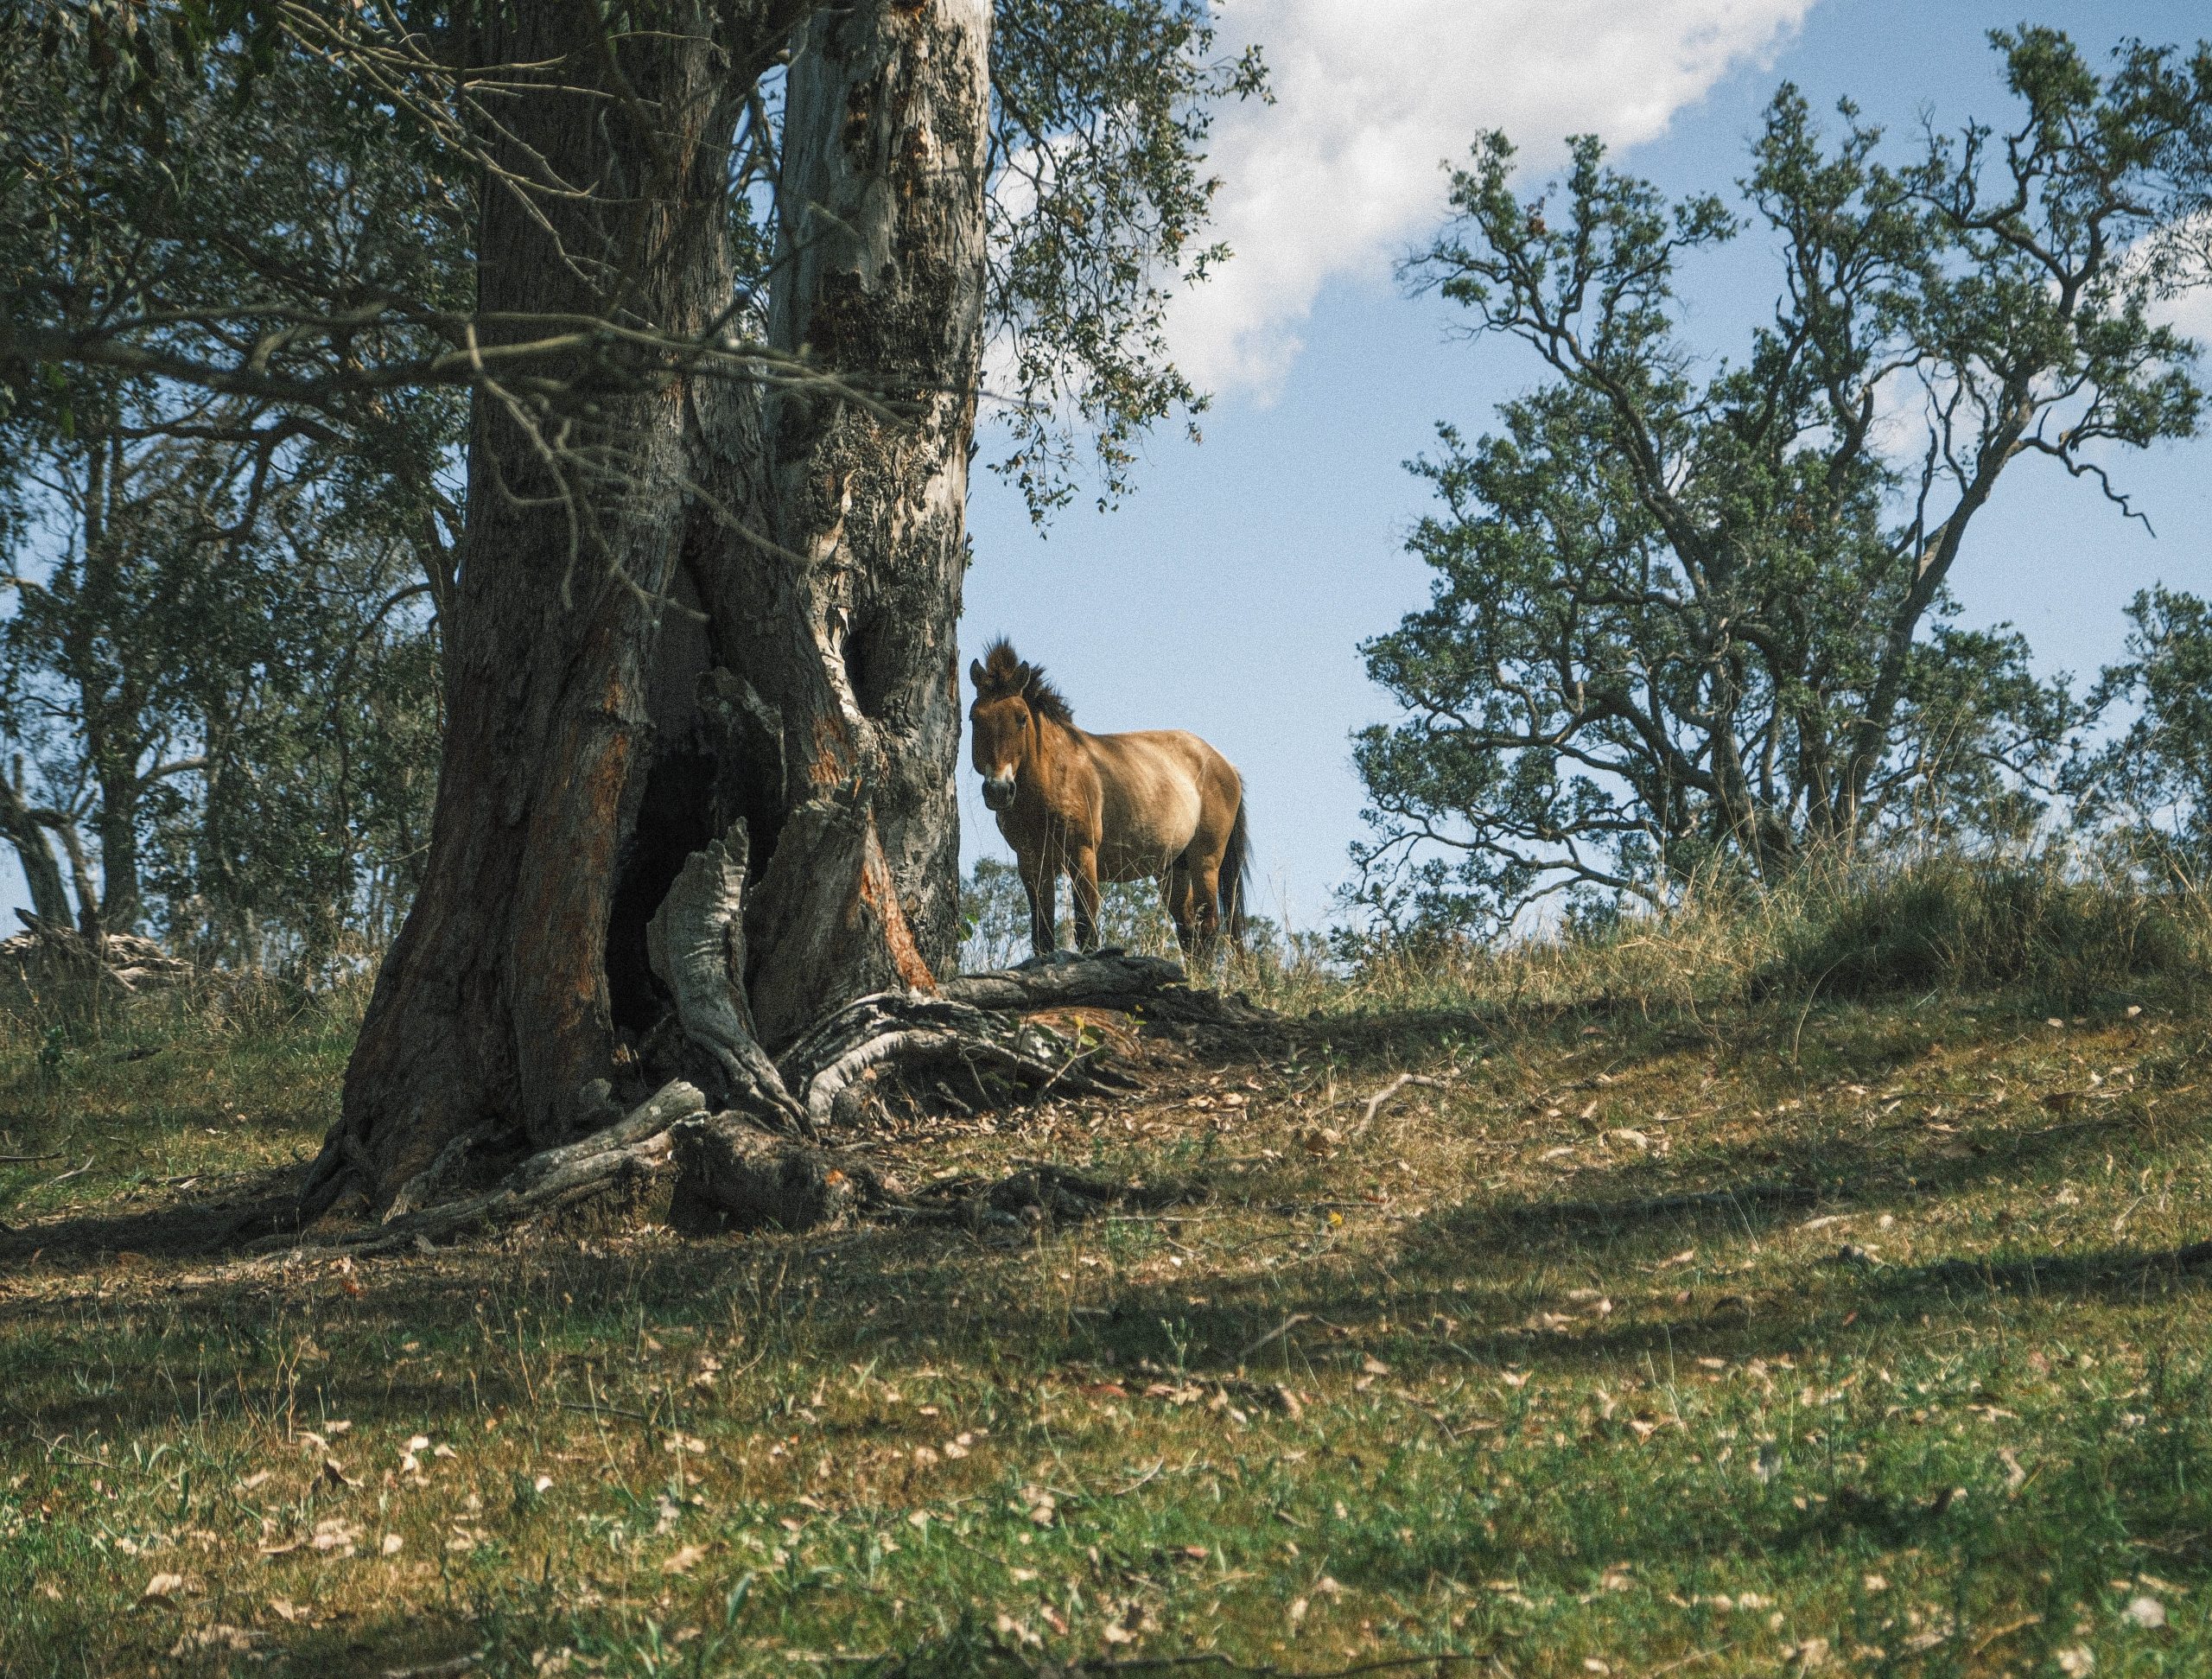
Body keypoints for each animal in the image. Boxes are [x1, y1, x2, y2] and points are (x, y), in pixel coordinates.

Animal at [967, 639, 1249, 960]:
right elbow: (1043, 937)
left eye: (1022, 719)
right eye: (974, 719)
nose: (999, 790)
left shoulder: (1082, 856)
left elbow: (1086, 930)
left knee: (1208, 928)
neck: (1054, 779)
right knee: (1188, 930)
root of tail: (1225, 764)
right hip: (1172, 868)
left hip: (1205, 861)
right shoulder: (1031, 864)